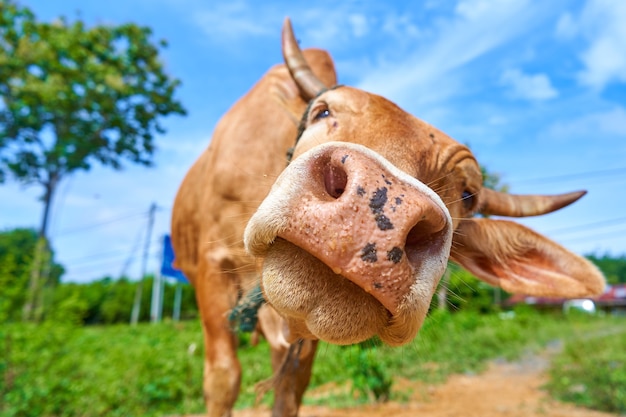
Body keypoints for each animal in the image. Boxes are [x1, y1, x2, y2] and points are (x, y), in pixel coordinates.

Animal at [169, 17, 600, 416]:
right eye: (323, 111)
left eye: (468, 193)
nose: (374, 209)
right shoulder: (211, 270)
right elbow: (223, 380)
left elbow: (291, 390)